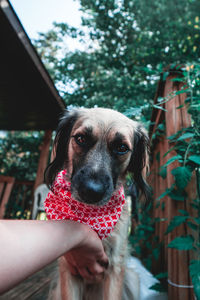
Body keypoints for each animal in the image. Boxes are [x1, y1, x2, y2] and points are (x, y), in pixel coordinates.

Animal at [44, 108, 149, 300]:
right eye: (81, 139)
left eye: (121, 148)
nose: (91, 191)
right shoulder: (69, 268)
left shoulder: (115, 268)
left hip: (132, 278)